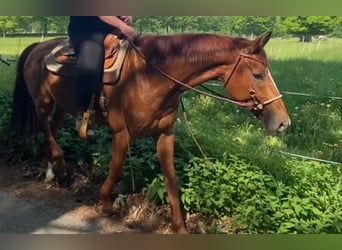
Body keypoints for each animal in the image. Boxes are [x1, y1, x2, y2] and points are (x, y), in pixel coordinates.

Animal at [10, 30, 288, 232]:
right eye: (258, 74)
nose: (283, 123)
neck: (151, 75)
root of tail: (37, 48)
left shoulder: (165, 135)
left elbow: (171, 178)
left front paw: (179, 225)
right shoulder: (121, 133)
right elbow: (117, 167)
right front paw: (106, 204)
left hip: (62, 106)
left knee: (53, 129)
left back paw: (52, 172)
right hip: (43, 101)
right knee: (45, 127)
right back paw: (59, 165)